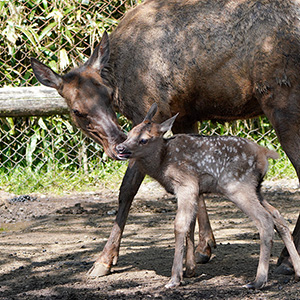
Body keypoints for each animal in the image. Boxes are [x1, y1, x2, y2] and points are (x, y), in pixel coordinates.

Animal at [116, 103, 300, 288]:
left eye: (144, 139)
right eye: (129, 133)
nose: (120, 148)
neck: (162, 163)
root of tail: (264, 154)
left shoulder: (186, 184)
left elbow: (180, 225)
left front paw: (175, 278)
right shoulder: (194, 190)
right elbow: (190, 226)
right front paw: (189, 270)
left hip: (237, 185)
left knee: (265, 220)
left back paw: (258, 281)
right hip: (257, 189)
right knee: (277, 215)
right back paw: (296, 271)